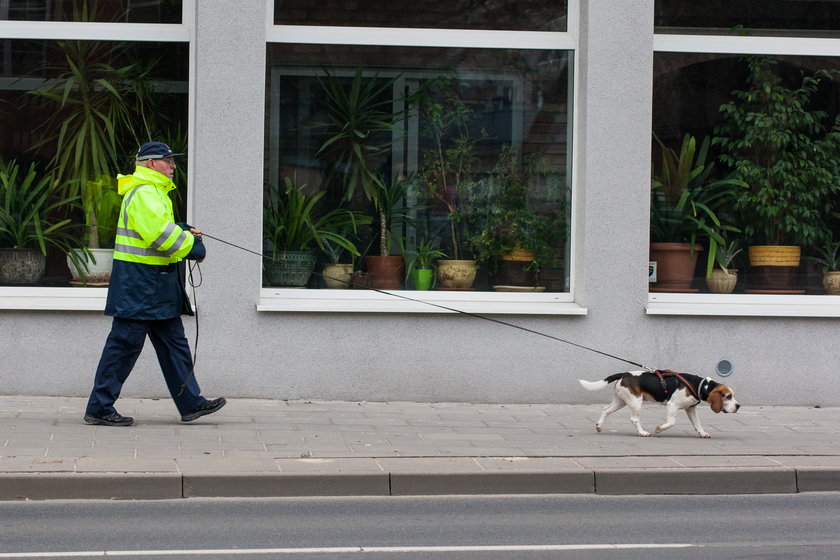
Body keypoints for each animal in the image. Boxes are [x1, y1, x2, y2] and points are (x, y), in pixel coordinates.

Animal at [580, 370, 740, 440]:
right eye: (728, 396)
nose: (738, 406)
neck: (700, 385)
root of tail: (625, 374)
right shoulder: (672, 405)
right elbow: (671, 422)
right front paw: (659, 429)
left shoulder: (690, 409)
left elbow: (698, 423)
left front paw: (702, 433)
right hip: (635, 402)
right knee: (634, 419)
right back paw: (642, 432)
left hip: (621, 401)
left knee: (605, 410)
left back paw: (599, 426)